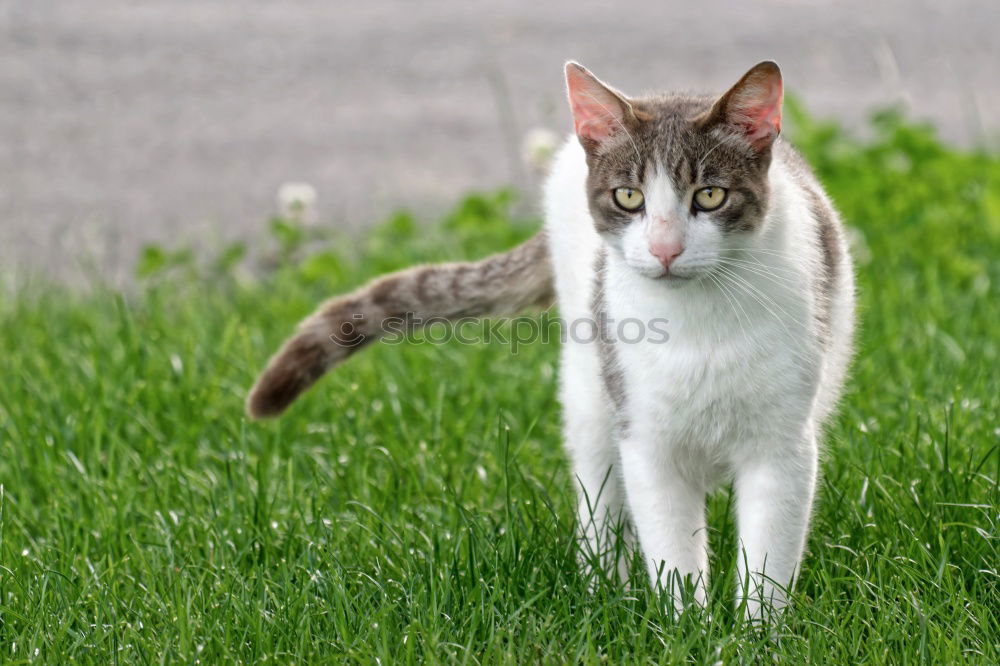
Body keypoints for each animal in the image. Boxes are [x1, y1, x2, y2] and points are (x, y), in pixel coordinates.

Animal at [246, 59, 856, 620]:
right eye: (628, 196)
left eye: (709, 195)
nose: (664, 249)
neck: (698, 323)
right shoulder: (646, 439)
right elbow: (673, 554)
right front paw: (689, 630)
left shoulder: (781, 446)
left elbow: (767, 563)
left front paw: (754, 636)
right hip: (590, 388)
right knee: (597, 495)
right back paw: (605, 593)